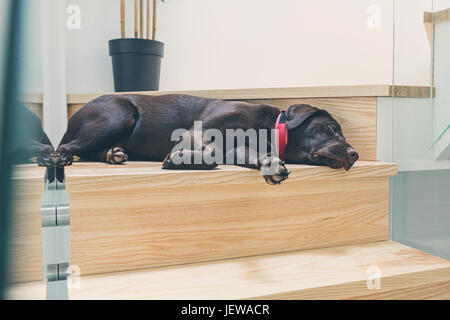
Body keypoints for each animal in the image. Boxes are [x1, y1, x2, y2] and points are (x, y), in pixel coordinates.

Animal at [49, 94, 358, 184]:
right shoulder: (199, 130)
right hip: (120, 114)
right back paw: (56, 158)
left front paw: (272, 164)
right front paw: (176, 159)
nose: (355, 154)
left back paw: (113, 154)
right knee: (67, 146)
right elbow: (208, 150)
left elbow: (256, 155)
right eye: (332, 128)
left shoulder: (239, 149)